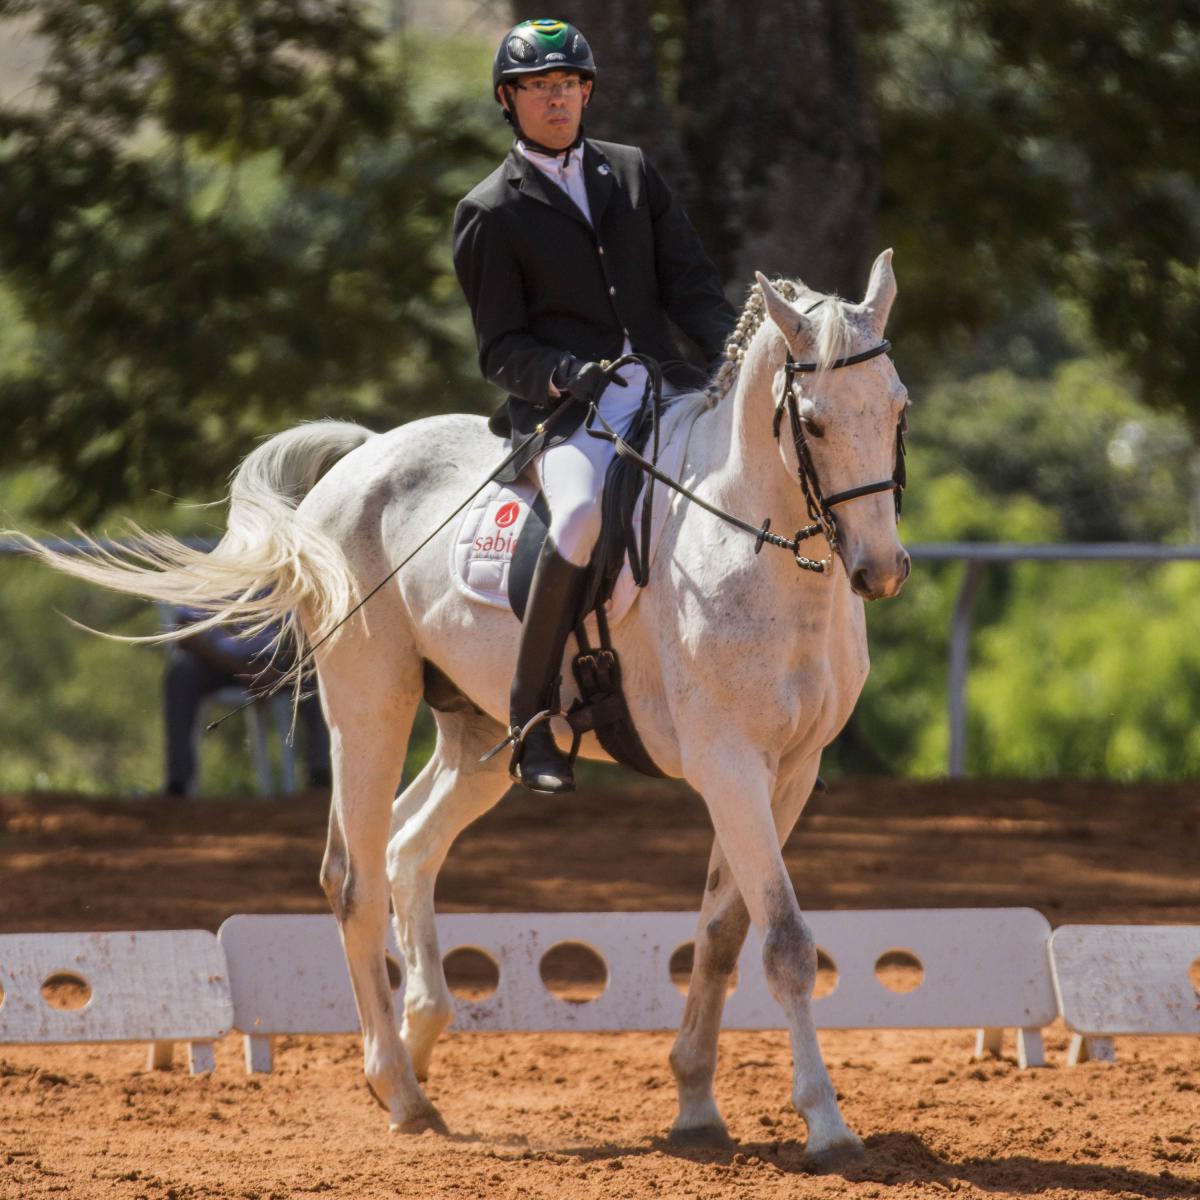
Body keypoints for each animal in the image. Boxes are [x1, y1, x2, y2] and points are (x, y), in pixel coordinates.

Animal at [18, 253, 907, 1161]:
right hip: (367, 706)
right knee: (353, 878)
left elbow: (725, 934)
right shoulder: (728, 765)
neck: (751, 551)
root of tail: (364, 457)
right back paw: (400, 1092)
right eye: (814, 423)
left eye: (898, 409)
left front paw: (695, 1103)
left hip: (479, 732)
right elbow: (787, 943)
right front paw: (827, 1125)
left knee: (409, 847)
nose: (880, 571)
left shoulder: (786, 772)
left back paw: (413, 1046)